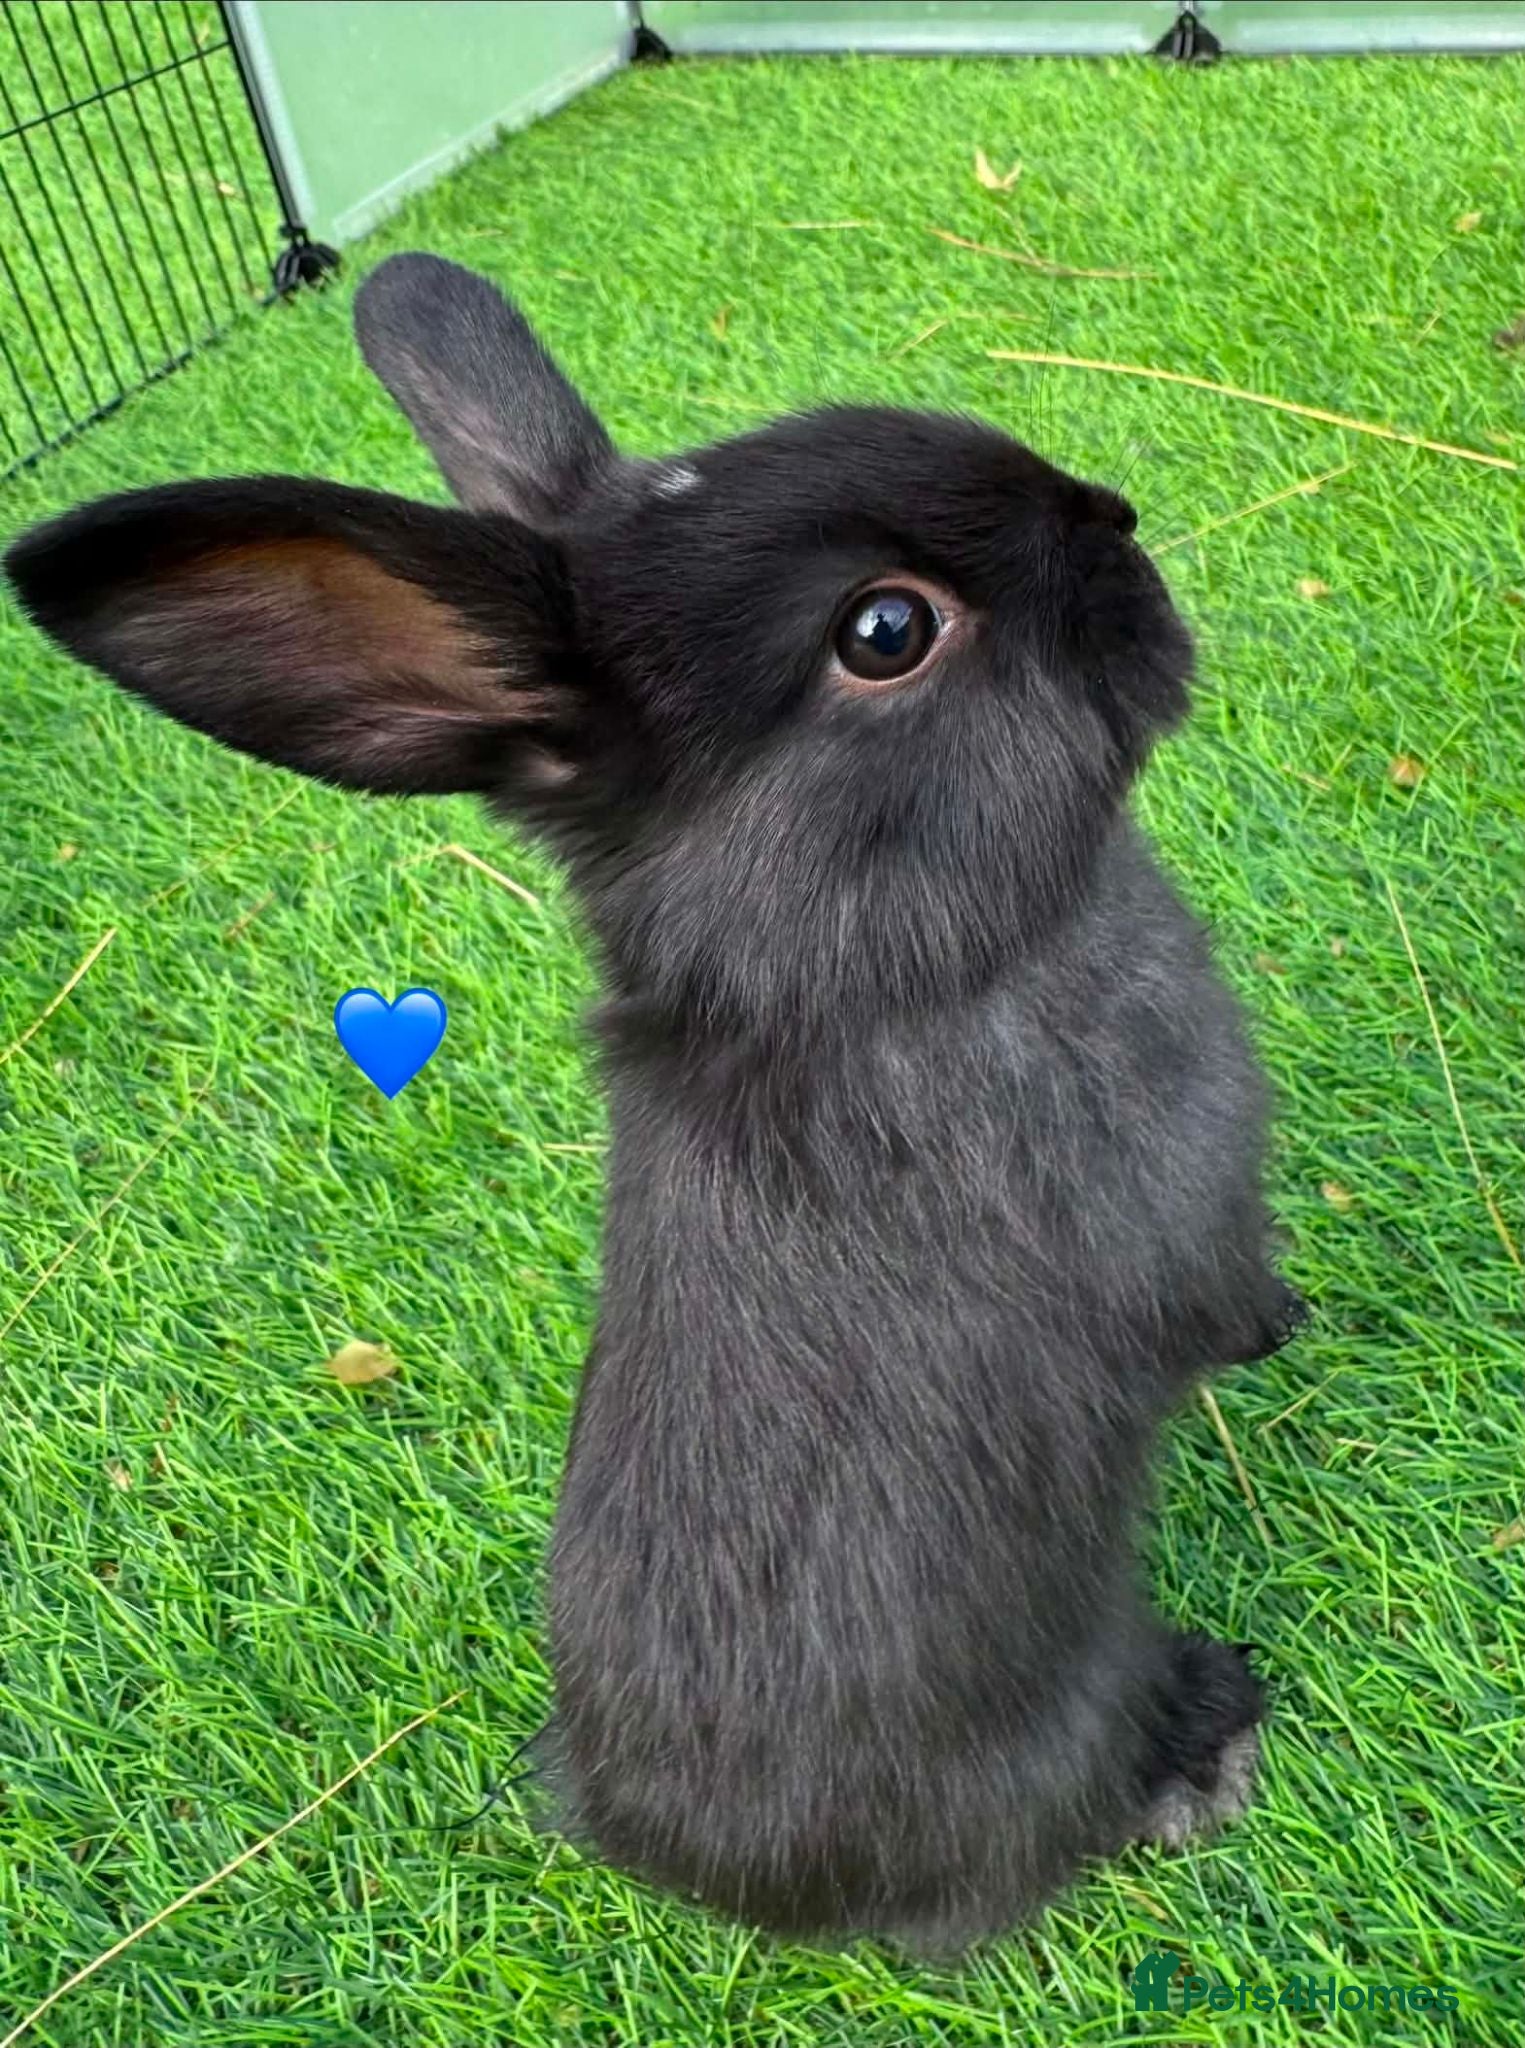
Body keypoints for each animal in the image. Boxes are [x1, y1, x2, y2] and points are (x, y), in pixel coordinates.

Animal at [4, 252, 1309, 1955]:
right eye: (886, 629)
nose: (1117, 521)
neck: (865, 978)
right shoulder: (1184, 1217)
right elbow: (1218, 1301)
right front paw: (1285, 1326)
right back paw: (1211, 1742)